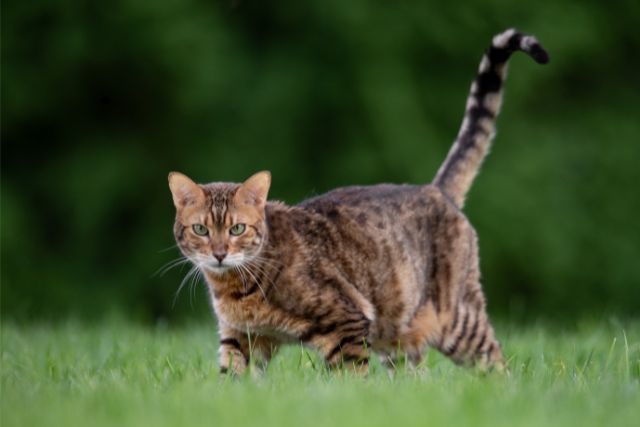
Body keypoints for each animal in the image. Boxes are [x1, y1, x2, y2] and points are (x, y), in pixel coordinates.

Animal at [168, 28, 548, 374]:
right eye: (201, 229)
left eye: (237, 229)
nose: (219, 254)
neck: (235, 288)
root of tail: (435, 189)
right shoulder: (240, 338)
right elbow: (233, 379)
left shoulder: (347, 321)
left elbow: (350, 379)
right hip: (398, 336)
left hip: (457, 320)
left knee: (496, 362)